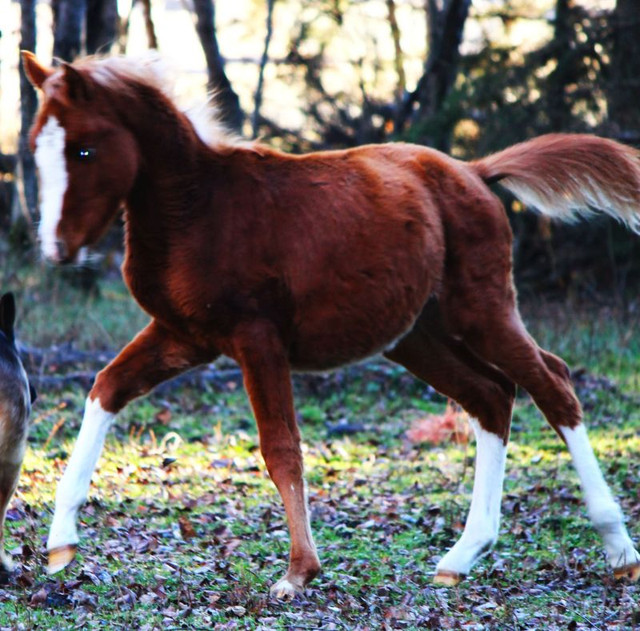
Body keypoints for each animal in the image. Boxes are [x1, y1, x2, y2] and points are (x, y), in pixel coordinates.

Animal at [22, 53, 636, 596]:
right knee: (492, 394)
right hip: (415, 336)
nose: (54, 249)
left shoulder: (256, 337)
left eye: (83, 148)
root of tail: (476, 172)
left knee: (552, 385)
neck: (196, 211)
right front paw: (60, 544)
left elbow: (281, 446)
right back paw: (463, 555)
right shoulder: (184, 337)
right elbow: (105, 389)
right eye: (34, 147)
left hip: (480, 309)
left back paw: (618, 547)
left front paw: (298, 573)